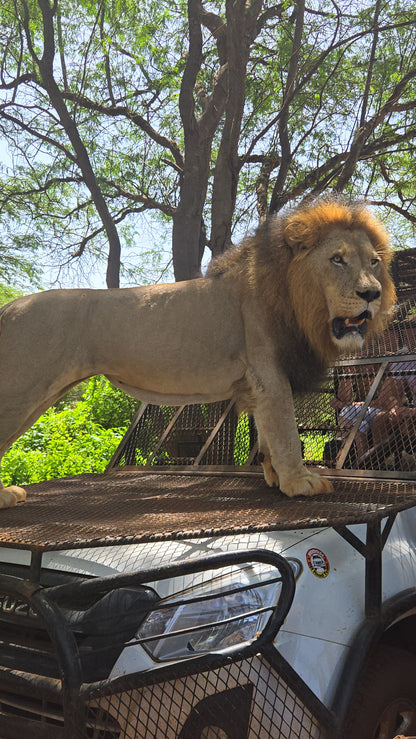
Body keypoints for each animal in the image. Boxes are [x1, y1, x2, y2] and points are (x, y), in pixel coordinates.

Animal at [0, 199, 395, 509]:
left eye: (373, 262)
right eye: (337, 260)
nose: (372, 294)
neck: (295, 296)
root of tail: (9, 307)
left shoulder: (261, 381)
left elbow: (268, 433)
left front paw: (275, 478)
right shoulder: (268, 371)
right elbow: (285, 430)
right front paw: (300, 483)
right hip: (22, 390)